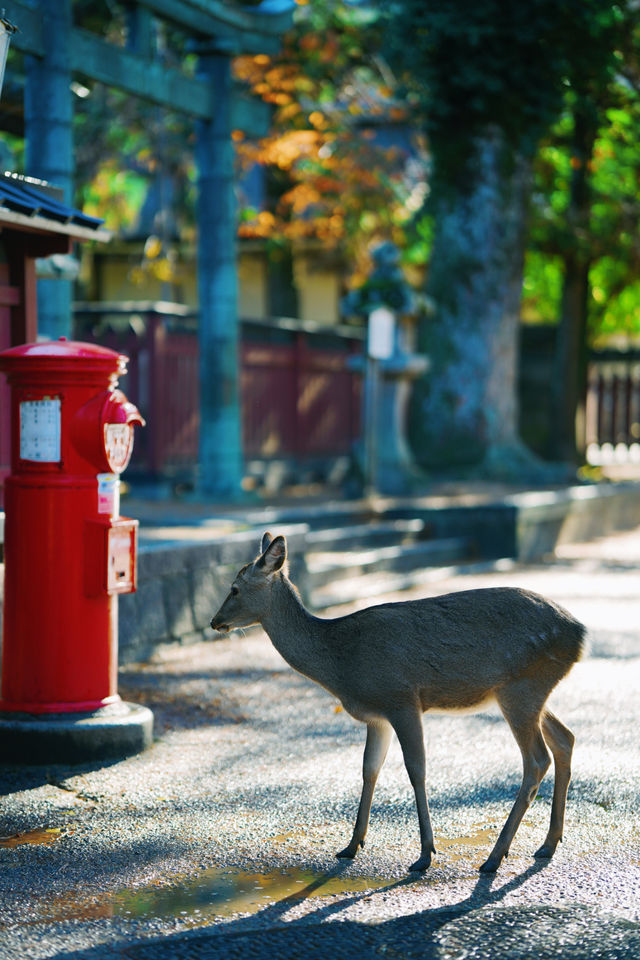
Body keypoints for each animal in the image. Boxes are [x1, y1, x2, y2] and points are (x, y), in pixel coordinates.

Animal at [210, 536, 584, 872]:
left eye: (234, 588)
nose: (214, 621)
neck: (341, 662)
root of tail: (579, 634)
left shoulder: (401, 698)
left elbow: (416, 769)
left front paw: (425, 854)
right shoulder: (376, 716)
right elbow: (369, 768)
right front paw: (351, 845)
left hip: (521, 689)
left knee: (536, 759)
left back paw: (495, 857)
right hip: (528, 691)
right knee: (565, 738)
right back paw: (548, 843)